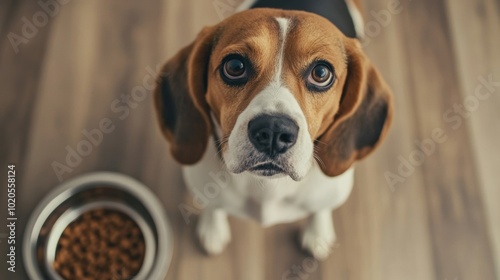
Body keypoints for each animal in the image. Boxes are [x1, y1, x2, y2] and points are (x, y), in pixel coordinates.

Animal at [154, 0, 392, 260]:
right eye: (235, 66)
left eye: (321, 73)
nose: (274, 131)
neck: (268, 188)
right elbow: (213, 205)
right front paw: (213, 228)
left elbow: (320, 209)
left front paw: (318, 233)